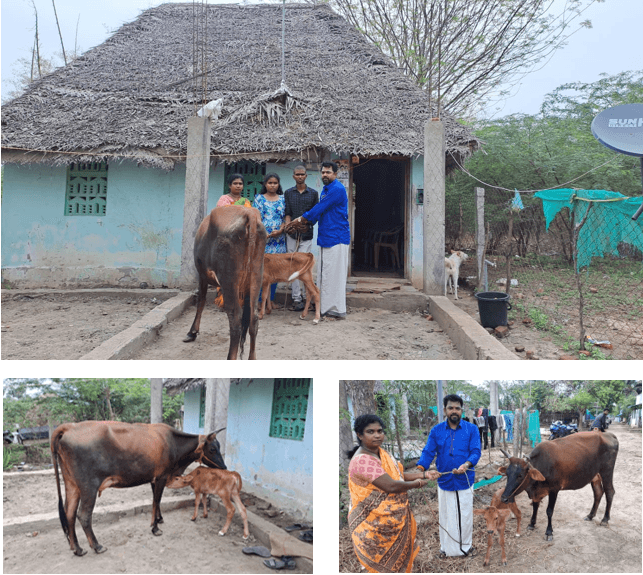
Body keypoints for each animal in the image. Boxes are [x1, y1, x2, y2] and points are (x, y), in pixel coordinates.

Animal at [51, 420, 226, 556]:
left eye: (219, 446)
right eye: (212, 449)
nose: (224, 467)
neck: (174, 444)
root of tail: (69, 427)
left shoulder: (154, 479)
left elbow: (156, 501)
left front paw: (159, 519)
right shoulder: (162, 477)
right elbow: (156, 500)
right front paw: (155, 528)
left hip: (72, 485)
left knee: (69, 514)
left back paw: (77, 548)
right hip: (89, 487)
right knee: (83, 515)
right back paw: (97, 546)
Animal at [184, 206, 266, 360]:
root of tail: (249, 213)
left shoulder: (202, 275)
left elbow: (201, 301)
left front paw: (192, 332)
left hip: (229, 279)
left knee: (235, 320)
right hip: (256, 276)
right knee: (253, 319)